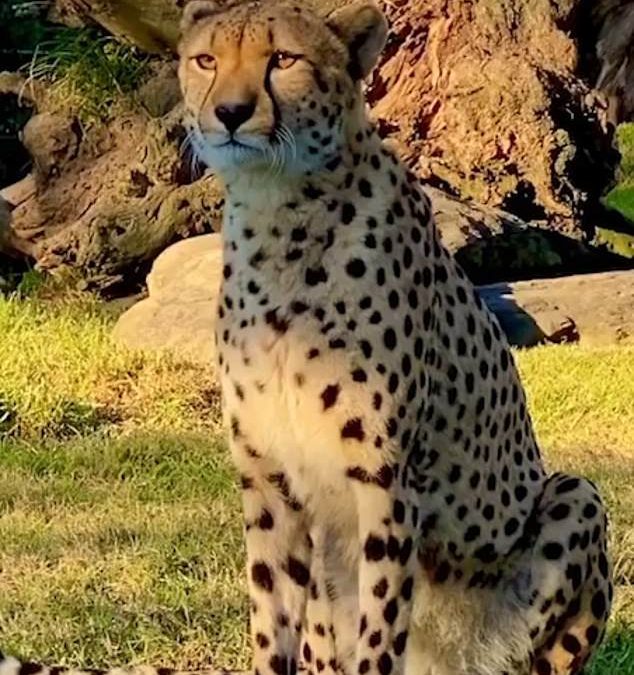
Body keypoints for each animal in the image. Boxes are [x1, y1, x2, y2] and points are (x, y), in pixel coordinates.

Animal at [0, 2, 613, 675]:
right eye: (206, 59)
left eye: (283, 59)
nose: (230, 112)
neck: (278, 216)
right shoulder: (270, 482)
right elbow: (272, 622)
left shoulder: (384, 483)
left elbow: (377, 628)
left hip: (576, 499)